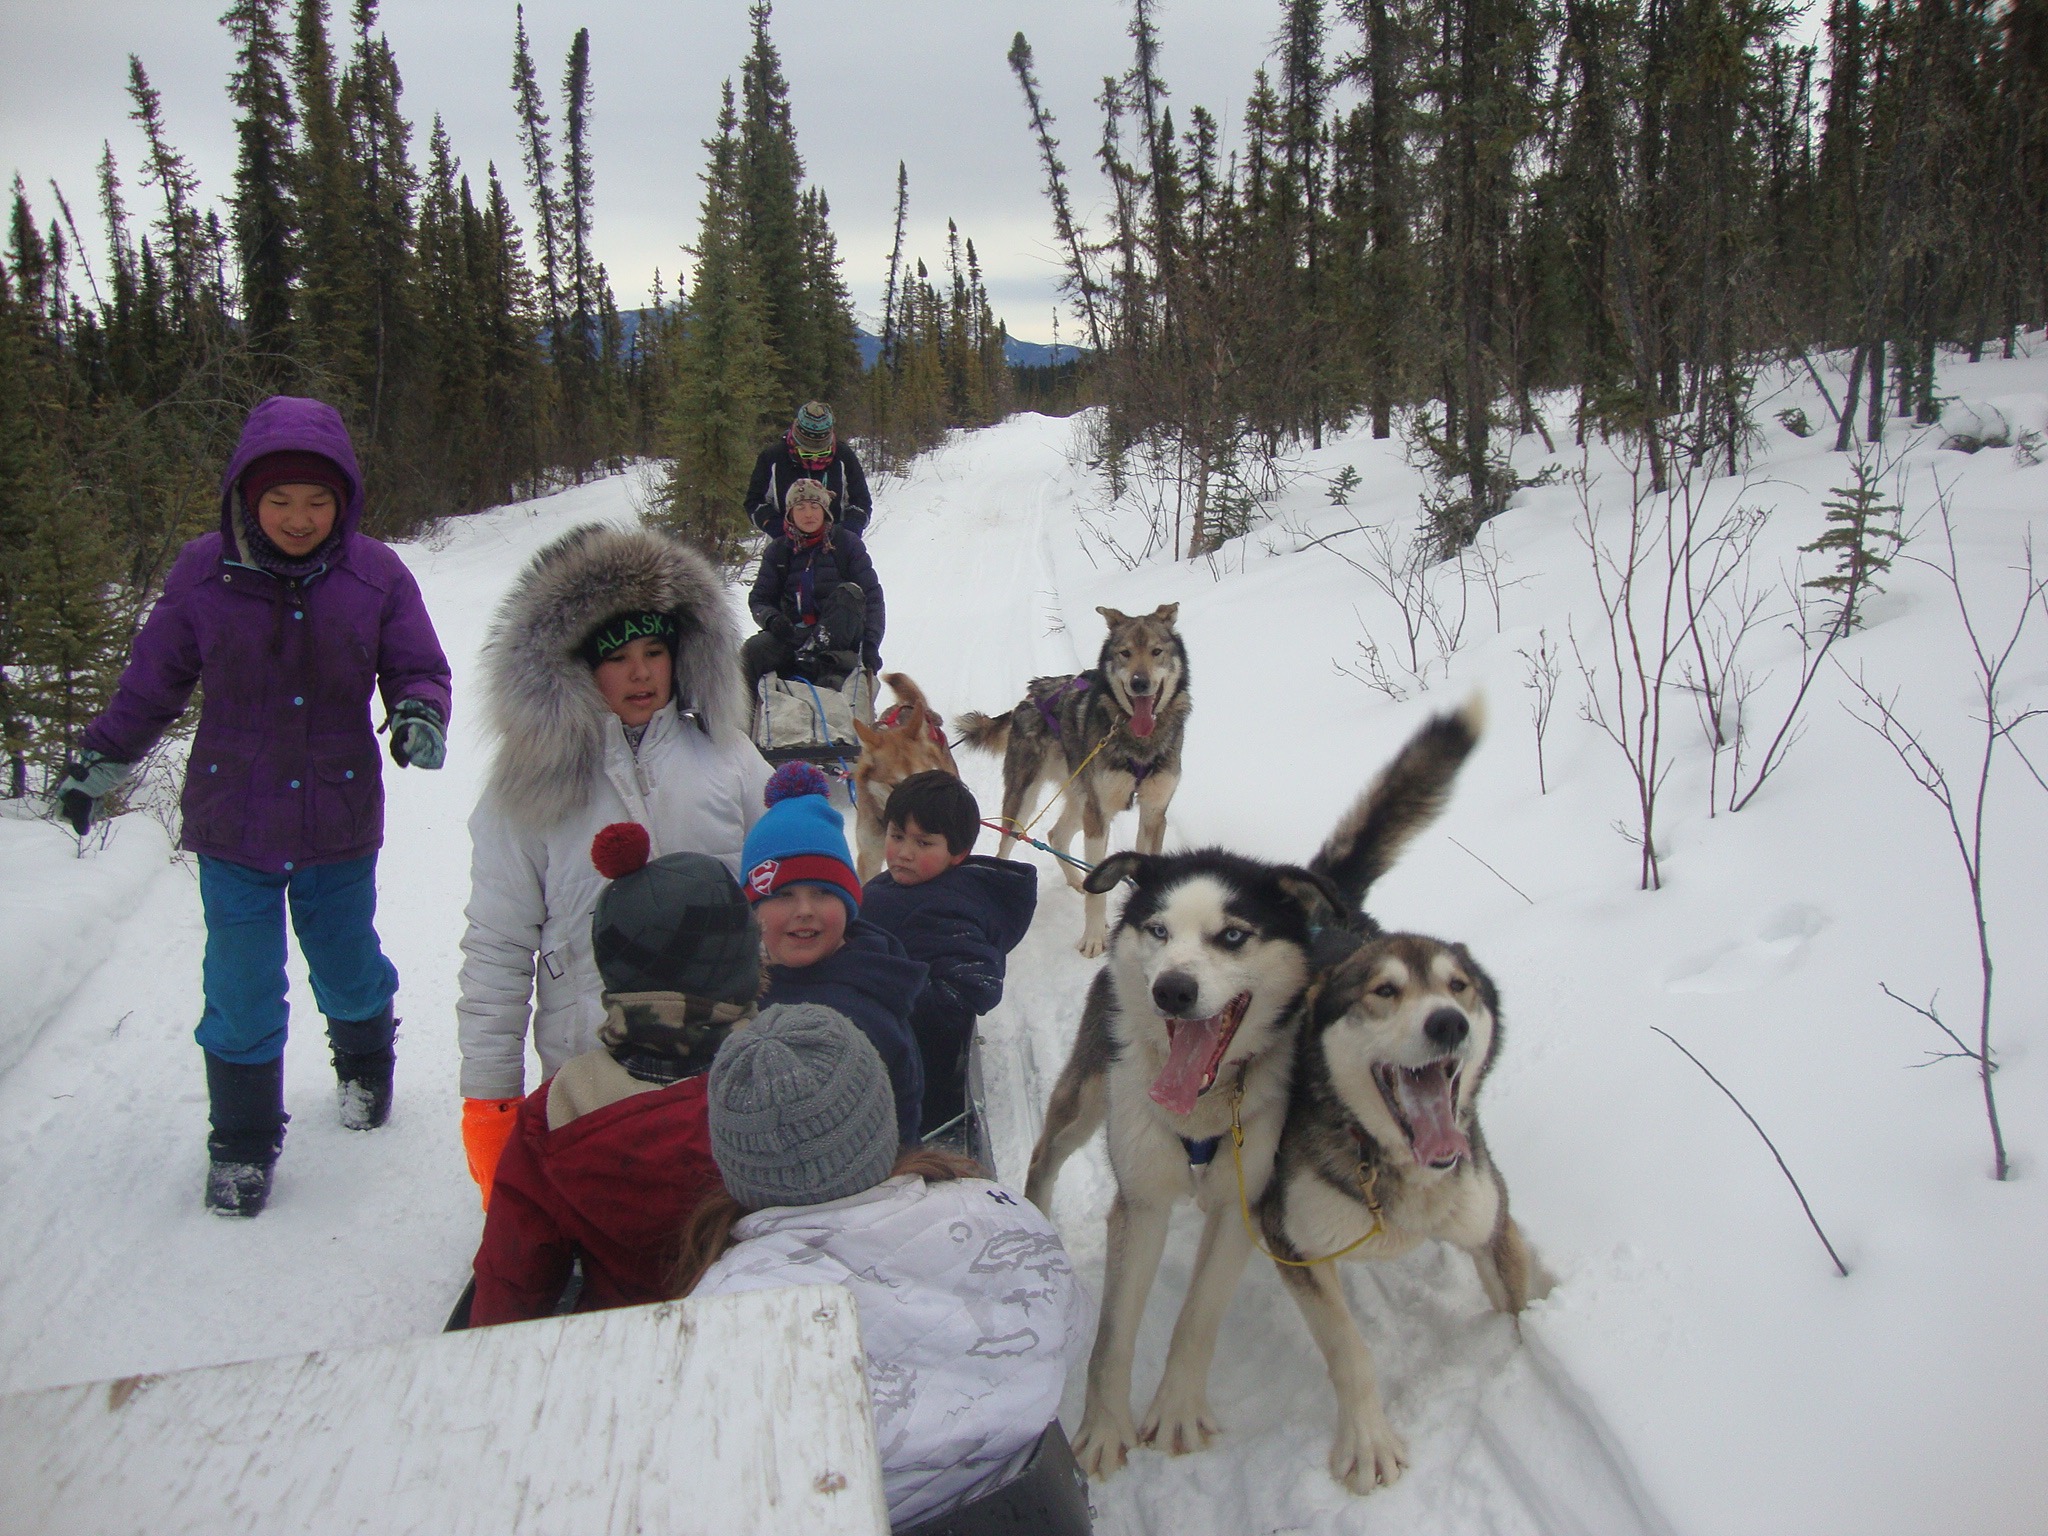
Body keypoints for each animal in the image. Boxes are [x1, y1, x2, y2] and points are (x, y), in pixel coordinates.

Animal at [954, 602, 1196, 950]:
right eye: (1124, 653)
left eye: (1156, 651)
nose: (1140, 682)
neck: (1138, 745)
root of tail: (1032, 695)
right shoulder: (1099, 815)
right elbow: (1098, 893)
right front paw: (1094, 938)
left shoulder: (1154, 813)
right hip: (1027, 799)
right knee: (1006, 845)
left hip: (1081, 797)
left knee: (1057, 835)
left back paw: (1077, 881)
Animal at [1032, 708, 1482, 1482]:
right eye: (1159, 929)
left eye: (1233, 936)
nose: (1172, 989)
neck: (1207, 1106)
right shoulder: (1142, 1200)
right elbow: (1113, 1335)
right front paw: (1105, 1427)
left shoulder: (1243, 1203)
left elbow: (1197, 1316)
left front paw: (1177, 1410)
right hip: (1084, 1097)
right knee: (1046, 1156)